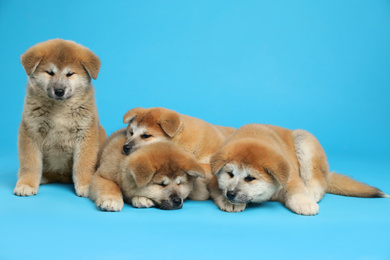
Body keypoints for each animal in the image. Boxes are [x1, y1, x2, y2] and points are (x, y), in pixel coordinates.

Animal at [14, 38, 106, 197]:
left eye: (70, 74)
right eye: (50, 73)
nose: (59, 91)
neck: (60, 109)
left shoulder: (86, 132)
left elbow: (84, 163)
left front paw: (86, 184)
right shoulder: (30, 131)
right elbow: (30, 163)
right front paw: (26, 183)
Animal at [209, 124, 388, 215]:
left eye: (250, 178)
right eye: (230, 174)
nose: (231, 194)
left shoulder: (290, 176)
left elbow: (296, 188)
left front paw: (303, 202)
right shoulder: (212, 176)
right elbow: (216, 187)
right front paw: (226, 200)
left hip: (304, 140)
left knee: (317, 182)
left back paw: (312, 193)